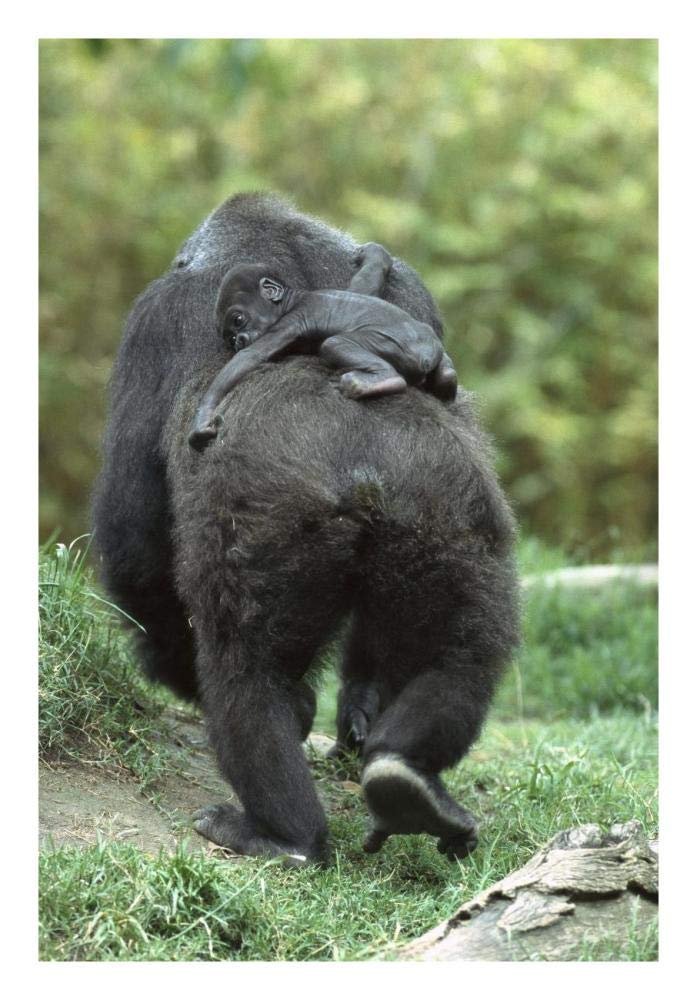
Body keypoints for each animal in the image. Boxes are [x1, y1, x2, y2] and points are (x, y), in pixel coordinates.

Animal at [188, 242, 457, 449]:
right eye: (231, 338)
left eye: (238, 320)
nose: (239, 340)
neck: (292, 299)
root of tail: (427, 353)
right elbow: (365, 283)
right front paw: (375, 256)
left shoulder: (287, 323)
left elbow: (251, 356)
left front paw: (202, 416)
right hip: (436, 352)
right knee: (446, 373)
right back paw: (445, 384)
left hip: (403, 349)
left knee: (334, 344)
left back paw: (379, 380)